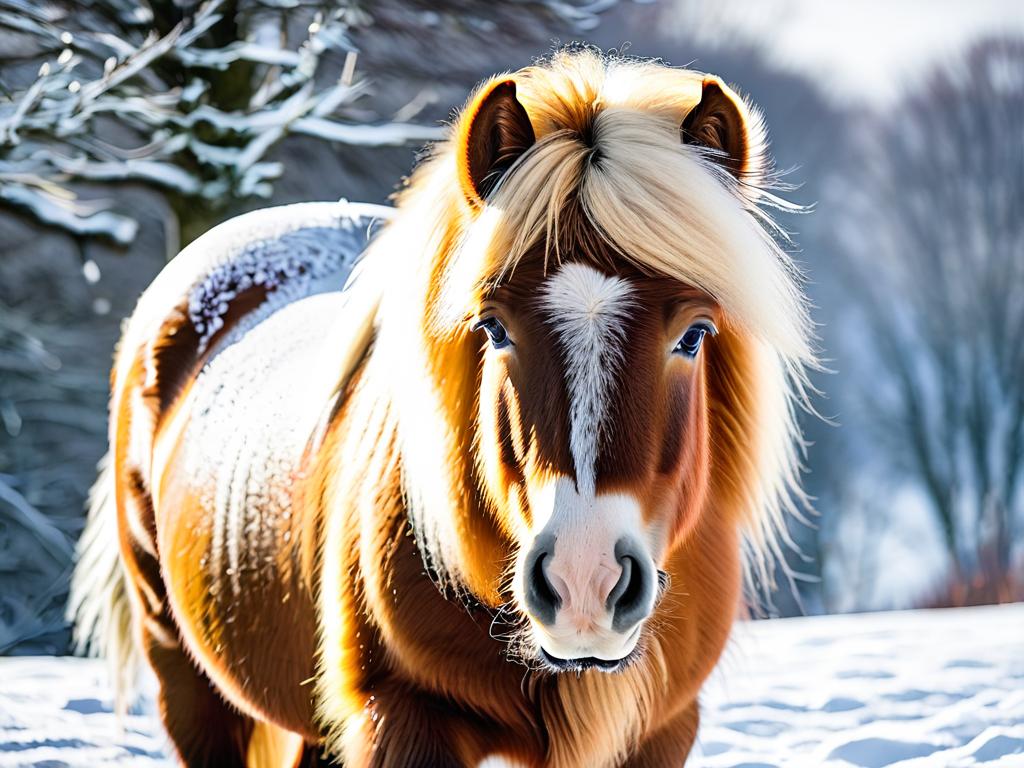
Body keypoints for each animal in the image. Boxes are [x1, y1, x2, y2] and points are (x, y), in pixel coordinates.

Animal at [68, 49, 815, 768]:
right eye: (494, 327)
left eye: (694, 334)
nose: (585, 582)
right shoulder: (405, 716)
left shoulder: (661, 731)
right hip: (188, 682)